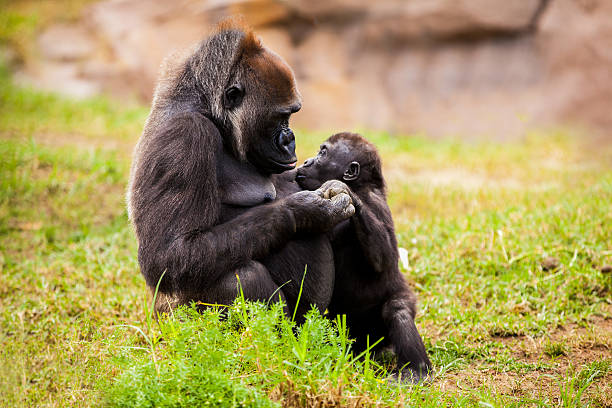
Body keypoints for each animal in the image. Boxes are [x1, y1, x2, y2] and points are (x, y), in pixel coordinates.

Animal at [128, 19, 354, 318]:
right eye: (281, 116)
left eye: (291, 116)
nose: (290, 140)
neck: (211, 114)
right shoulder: (185, 135)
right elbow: (170, 255)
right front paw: (307, 210)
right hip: (172, 318)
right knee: (240, 278)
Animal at [296, 132, 430, 380]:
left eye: (323, 153)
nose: (307, 161)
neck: (360, 184)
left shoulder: (376, 204)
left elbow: (385, 257)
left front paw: (346, 194)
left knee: (397, 309)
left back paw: (416, 370)